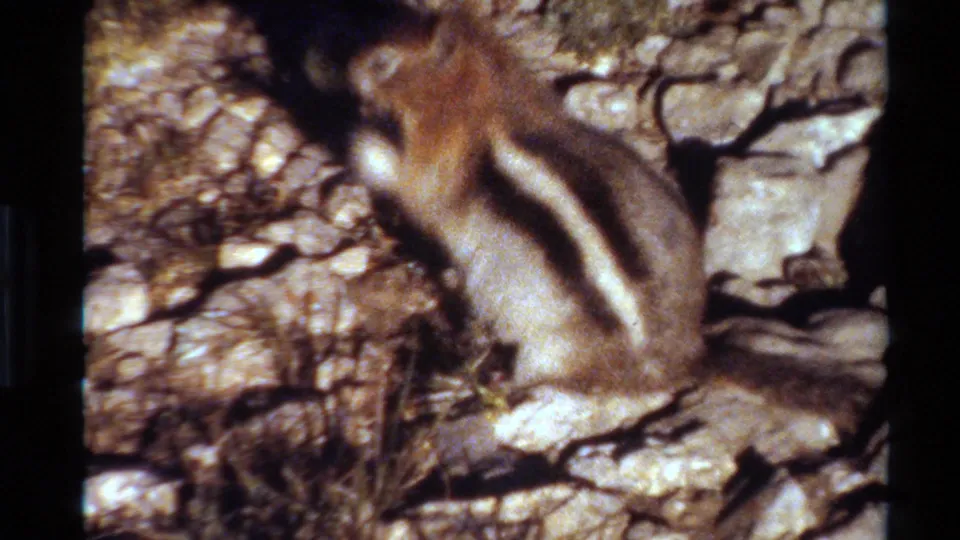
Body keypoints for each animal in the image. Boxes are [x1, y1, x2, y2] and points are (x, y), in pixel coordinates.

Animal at [345, 9, 876, 450]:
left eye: (384, 61)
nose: (349, 69)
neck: (481, 88)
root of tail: (684, 360)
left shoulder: (438, 158)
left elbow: (412, 188)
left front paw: (364, 144)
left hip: (549, 347)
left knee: (534, 383)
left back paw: (463, 387)